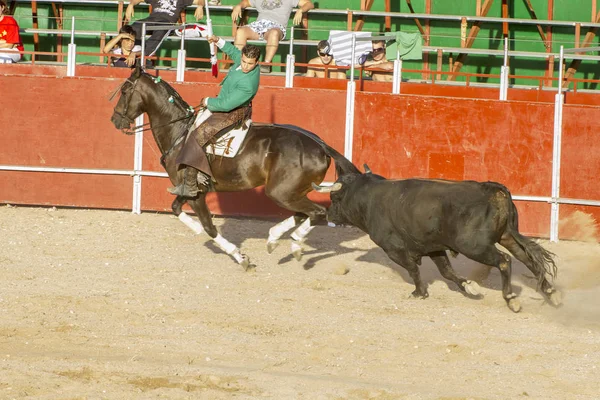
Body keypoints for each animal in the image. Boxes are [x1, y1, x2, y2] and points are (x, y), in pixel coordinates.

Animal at [110, 66, 358, 272]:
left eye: (125, 91)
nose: (114, 120)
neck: (180, 132)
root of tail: (320, 145)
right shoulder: (189, 189)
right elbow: (175, 208)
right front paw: (195, 228)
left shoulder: (195, 194)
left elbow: (209, 227)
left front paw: (241, 258)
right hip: (292, 192)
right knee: (302, 213)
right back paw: (273, 239)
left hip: (281, 192)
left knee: (317, 212)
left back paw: (295, 244)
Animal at [314, 170, 564, 312]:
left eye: (334, 197)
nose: (327, 215)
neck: (367, 198)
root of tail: (492, 189)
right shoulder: (433, 247)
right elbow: (447, 272)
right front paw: (469, 287)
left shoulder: (393, 249)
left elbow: (413, 269)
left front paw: (418, 292)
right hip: (508, 236)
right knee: (528, 259)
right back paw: (552, 294)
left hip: (474, 246)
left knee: (504, 261)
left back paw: (511, 298)